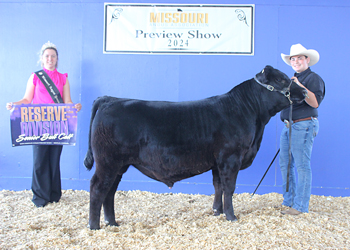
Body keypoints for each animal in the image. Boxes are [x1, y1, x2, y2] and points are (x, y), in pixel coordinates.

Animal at [83, 65, 304, 229]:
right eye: (282, 80)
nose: (303, 91)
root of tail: (109, 99)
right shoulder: (230, 157)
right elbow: (229, 187)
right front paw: (231, 216)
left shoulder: (217, 162)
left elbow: (218, 186)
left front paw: (217, 212)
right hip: (108, 162)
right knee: (97, 187)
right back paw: (94, 226)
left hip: (119, 165)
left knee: (110, 191)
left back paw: (112, 222)